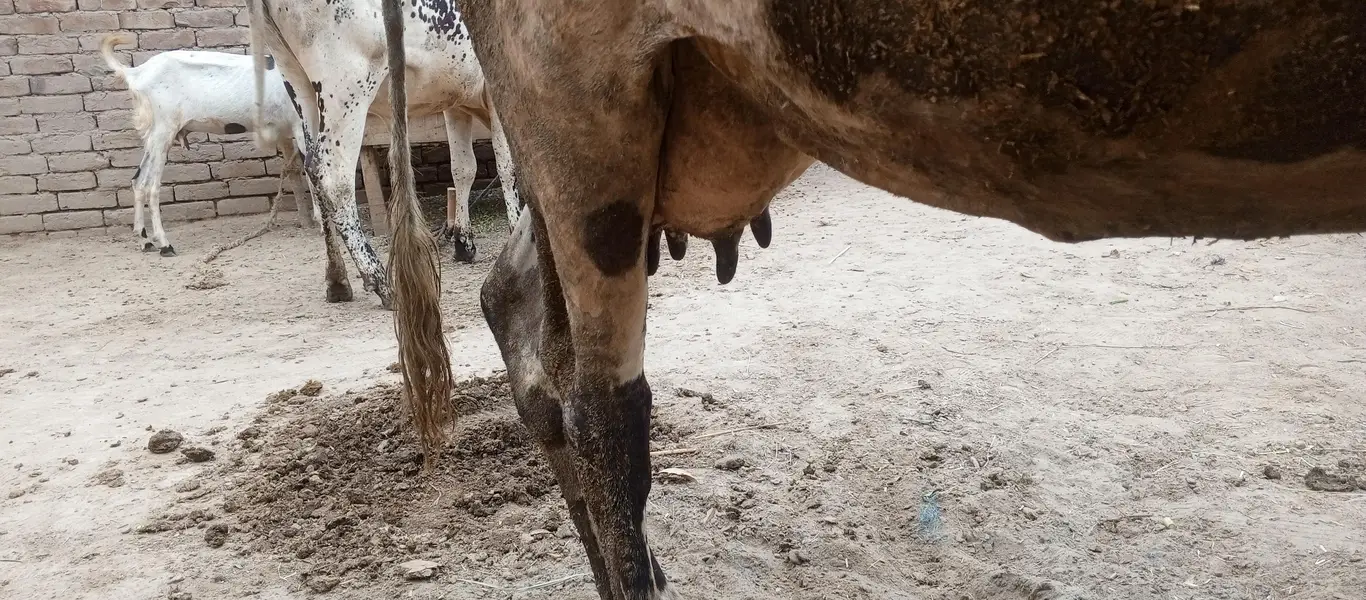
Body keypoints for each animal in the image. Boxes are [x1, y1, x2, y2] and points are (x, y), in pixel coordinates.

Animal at [101, 33, 318, 257]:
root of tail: (136, 73)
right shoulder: (302, 125)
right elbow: (312, 170)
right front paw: (320, 221)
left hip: (153, 135)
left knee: (138, 181)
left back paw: (145, 241)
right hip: (163, 129)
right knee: (150, 185)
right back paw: (165, 244)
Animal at [246, 0, 522, 308]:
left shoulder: (456, 100)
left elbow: (463, 169)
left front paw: (464, 243)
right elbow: (508, 165)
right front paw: (516, 231)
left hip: (298, 83)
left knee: (311, 169)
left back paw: (337, 279)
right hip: (346, 86)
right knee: (332, 177)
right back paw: (380, 281)